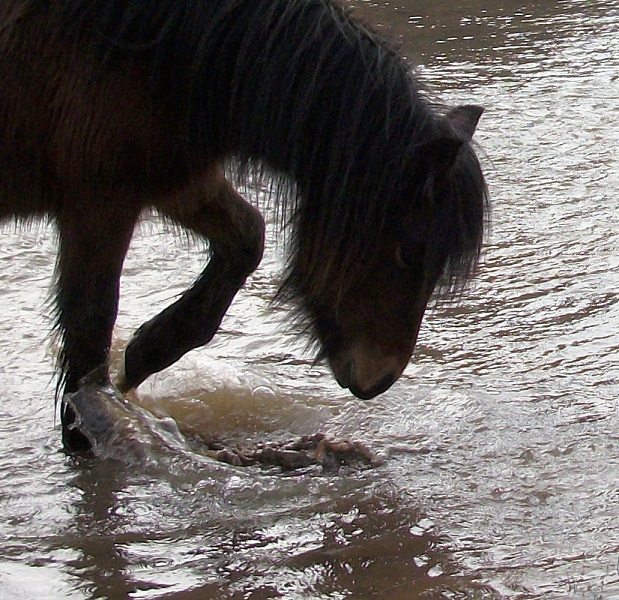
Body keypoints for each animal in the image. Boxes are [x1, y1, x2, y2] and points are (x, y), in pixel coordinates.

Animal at [0, 1, 490, 450]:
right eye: (408, 249)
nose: (380, 379)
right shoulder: (99, 202)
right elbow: (90, 325)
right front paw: (85, 433)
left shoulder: (177, 181)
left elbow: (246, 240)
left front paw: (143, 354)